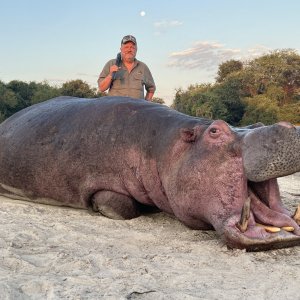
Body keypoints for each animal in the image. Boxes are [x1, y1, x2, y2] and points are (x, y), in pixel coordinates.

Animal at [0, 96, 298, 251]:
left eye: (257, 123)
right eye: (215, 131)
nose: (289, 125)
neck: (165, 147)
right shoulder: (101, 184)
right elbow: (121, 205)